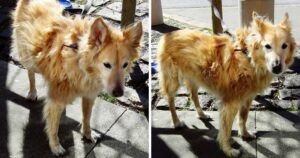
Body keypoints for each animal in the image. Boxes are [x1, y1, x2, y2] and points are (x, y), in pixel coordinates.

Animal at [11, 0, 143, 156]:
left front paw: (88, 134)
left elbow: (87, 117)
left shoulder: (89, 95)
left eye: (125, 65)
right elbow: (53, 126)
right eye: (107, 65)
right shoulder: (56, 99)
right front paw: (55, 146)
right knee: (30, 73)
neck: (80, 64)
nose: (119, 93)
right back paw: (32, 92)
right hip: (27, 55)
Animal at [157, 12, 296, 157]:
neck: (248, 59)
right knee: (171, 101)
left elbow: (243, 118)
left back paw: (201, 114)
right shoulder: (230, 104)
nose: (277, 67)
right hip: (172, 80)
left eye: (284, 46)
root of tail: (168, 35)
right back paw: (176, 122)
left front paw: (244, 134)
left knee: (193, 96)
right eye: (267, 46)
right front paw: (228, 150)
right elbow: (226, 130)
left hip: (194, 78)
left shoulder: (247, 98)